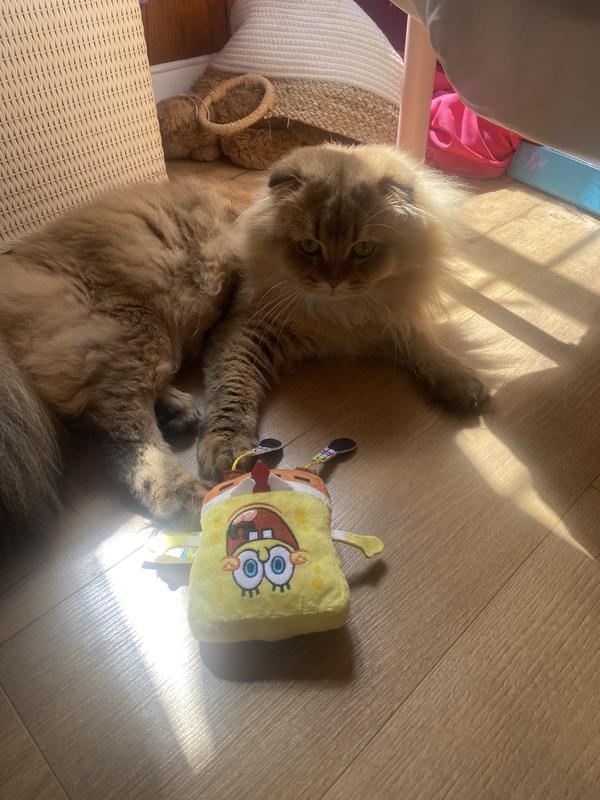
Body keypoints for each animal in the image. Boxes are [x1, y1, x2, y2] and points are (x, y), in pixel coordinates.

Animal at [197, 144, 489, 480]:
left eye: (363, 249)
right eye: (309, 245)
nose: (333, 281)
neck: (338, 313)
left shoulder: (390, 322)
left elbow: (428, 349)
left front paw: (460, 381)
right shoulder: (248, 327)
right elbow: (233, 386)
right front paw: (228, 446)